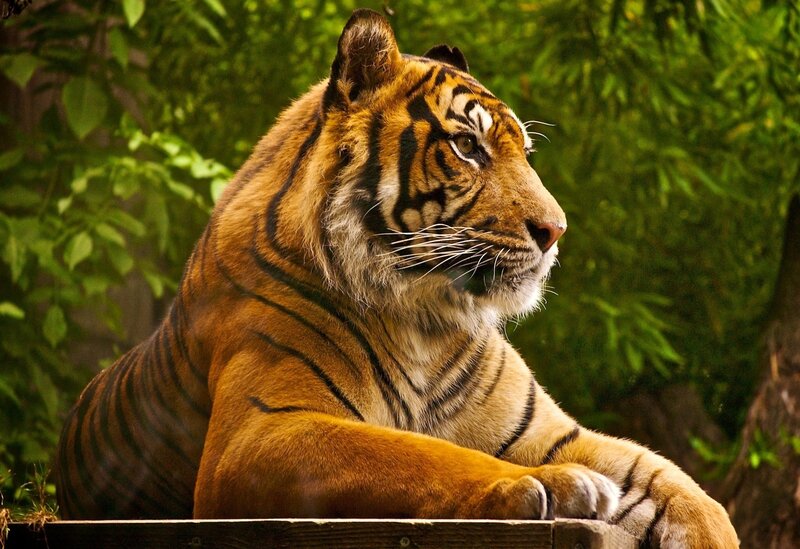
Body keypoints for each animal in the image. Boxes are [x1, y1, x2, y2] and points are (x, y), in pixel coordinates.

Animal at [54, 9, 738, 547]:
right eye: (467, 147)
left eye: (522, 152)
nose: (556, 230)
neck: (426, 318)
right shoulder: (258, 432)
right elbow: (422, 453)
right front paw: (542, 484)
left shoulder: (550, 431)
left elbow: (680, 486)